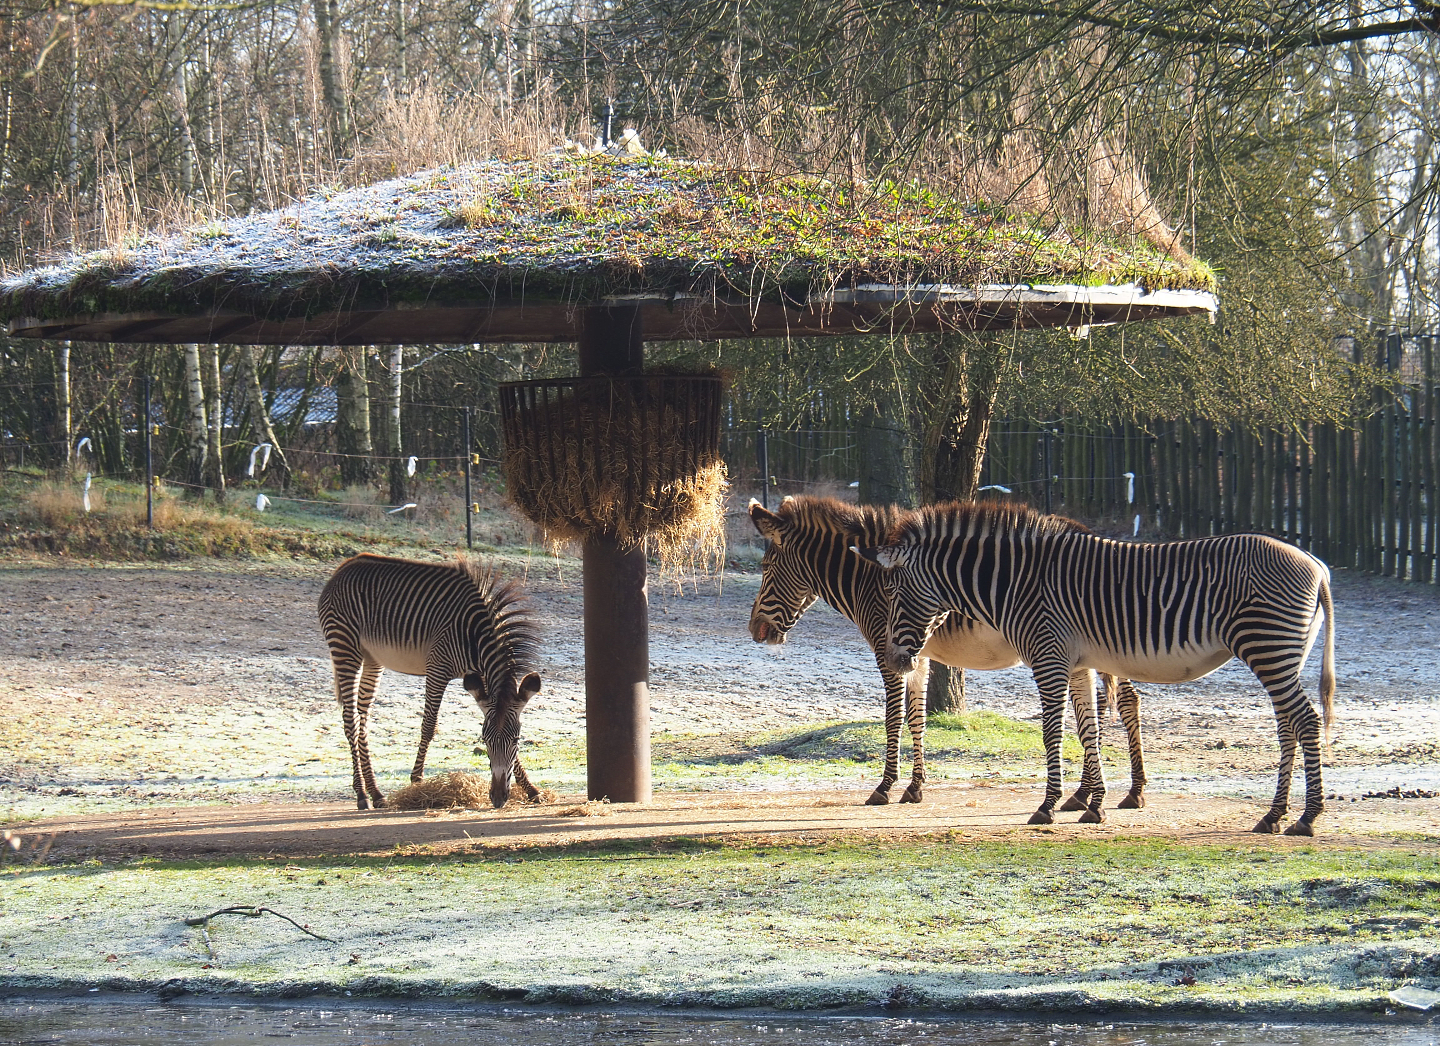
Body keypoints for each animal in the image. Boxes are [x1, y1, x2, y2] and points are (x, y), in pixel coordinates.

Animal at [317, 553, 544, 810]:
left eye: (516, 739)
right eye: (484, 740)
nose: (497, 798)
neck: (475, 635)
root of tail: (346, 566)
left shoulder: (483, 682)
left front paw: (531, 789)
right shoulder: (438, 668)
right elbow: (429, 725)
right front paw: (417, 782)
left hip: (372, 657)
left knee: (361, 715)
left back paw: (376, 793)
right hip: (345, 647)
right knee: (350, 720)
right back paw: (362, 795)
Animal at [748, 495, 1150, 809]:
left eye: (766, 567)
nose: (754, 631)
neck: (869, 579)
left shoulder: (886, 650)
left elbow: (893, 717)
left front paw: (885, 787)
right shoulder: (916, 654)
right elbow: (917, 718)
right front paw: (915, 787)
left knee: (1121, 701)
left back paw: (1118, 792)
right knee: (1119, 702)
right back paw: (1101, 794)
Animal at [854, 500, 1336, 835]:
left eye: (892, 592)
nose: (896, 660)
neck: (1019, 582)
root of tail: (1317, 566)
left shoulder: (1048, 656)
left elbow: (1054, 731)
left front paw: (1048, 807)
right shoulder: (1074, 663)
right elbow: (1088, 729)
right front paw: (1094, 804)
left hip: (1267, 646)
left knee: (1307, 721)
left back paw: (1307, 818)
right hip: (1279, 654)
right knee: (1289, 726)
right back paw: (1274, 816)